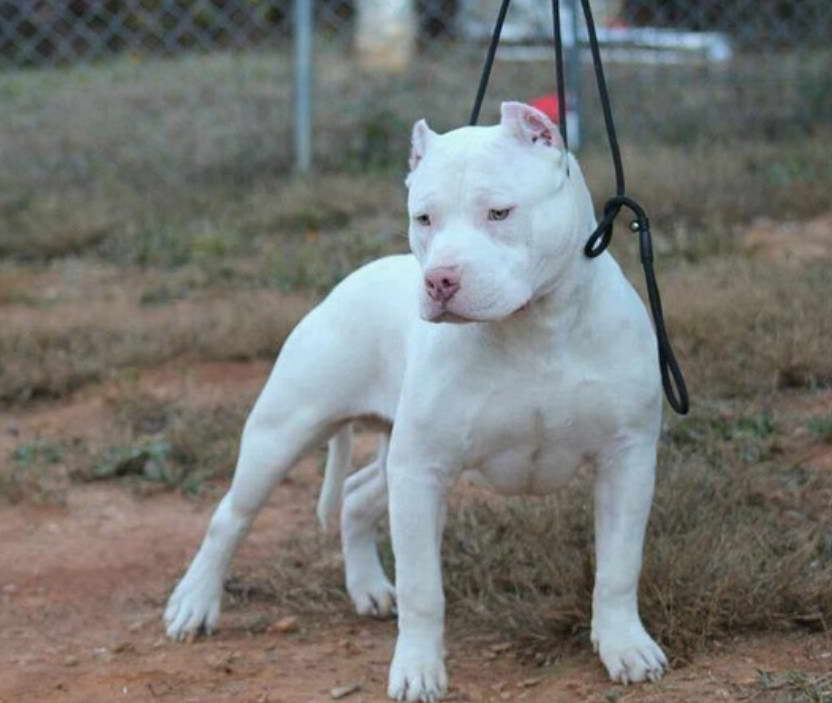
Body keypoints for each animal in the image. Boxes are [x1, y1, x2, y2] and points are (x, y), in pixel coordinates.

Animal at [164, 102, 668, 700]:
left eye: (499, 212)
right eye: (423, 218)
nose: (440, 281)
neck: (535, 327)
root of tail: (351, 279)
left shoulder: (627, 459)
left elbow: (619, 566)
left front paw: (625, 646)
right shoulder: (422, 470)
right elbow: (423, 588)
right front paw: (418, 670)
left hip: (388, 457)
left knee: (356, 497)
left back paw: (369, 588)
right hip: (284, 433)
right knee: (231, 516)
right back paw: (195, 603)